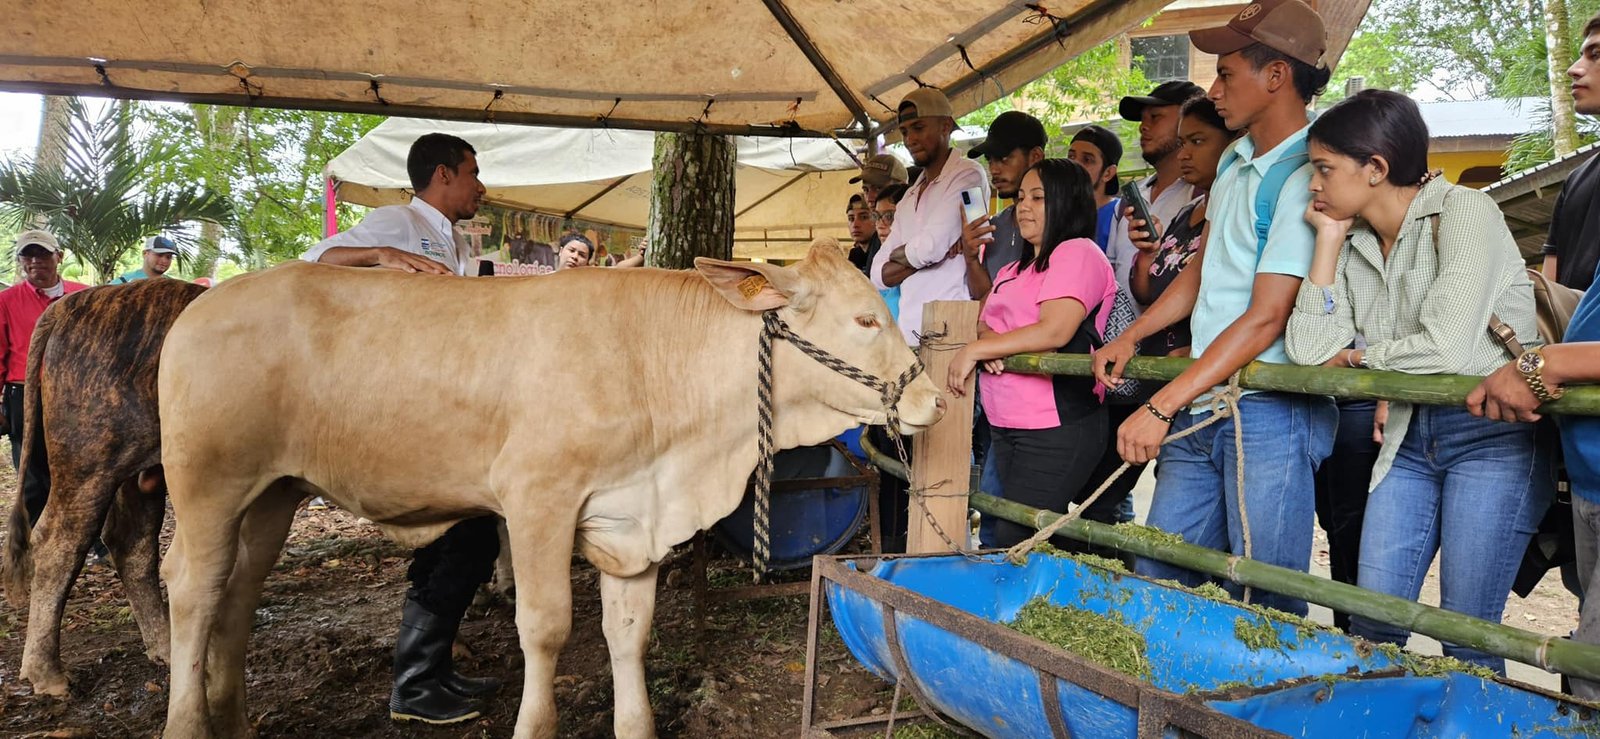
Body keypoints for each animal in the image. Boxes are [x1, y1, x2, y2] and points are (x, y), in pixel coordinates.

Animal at [2, 278, 208, 696]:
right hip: (89, 459)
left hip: (140, 469)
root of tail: (79, 301)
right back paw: (47, 674)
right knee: (58, 541)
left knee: (132, 542)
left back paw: (165, 647)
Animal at [154, 240, 944, 739]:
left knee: (239, 590)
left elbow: (629, 632)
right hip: (207, 482)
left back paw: (235, 720)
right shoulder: (537, 498)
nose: (935, 398)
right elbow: (545, 625)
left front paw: (635, 724)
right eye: (865, 318)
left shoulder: (634, 520)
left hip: (273, 492)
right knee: (193, 588)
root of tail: (201, 306)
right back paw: (188, 721)